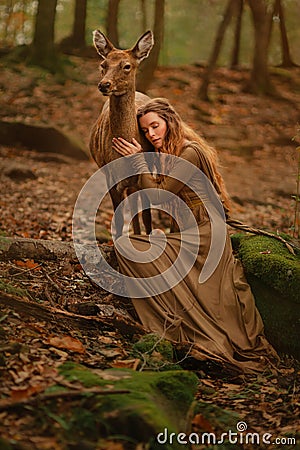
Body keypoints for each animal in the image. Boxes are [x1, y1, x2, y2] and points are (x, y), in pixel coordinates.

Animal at [89, 29, 155, 237]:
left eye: (127, 66)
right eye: (103, 64)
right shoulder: (110, 176)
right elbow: (118, 220)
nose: (104, 85)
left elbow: (147, 217)